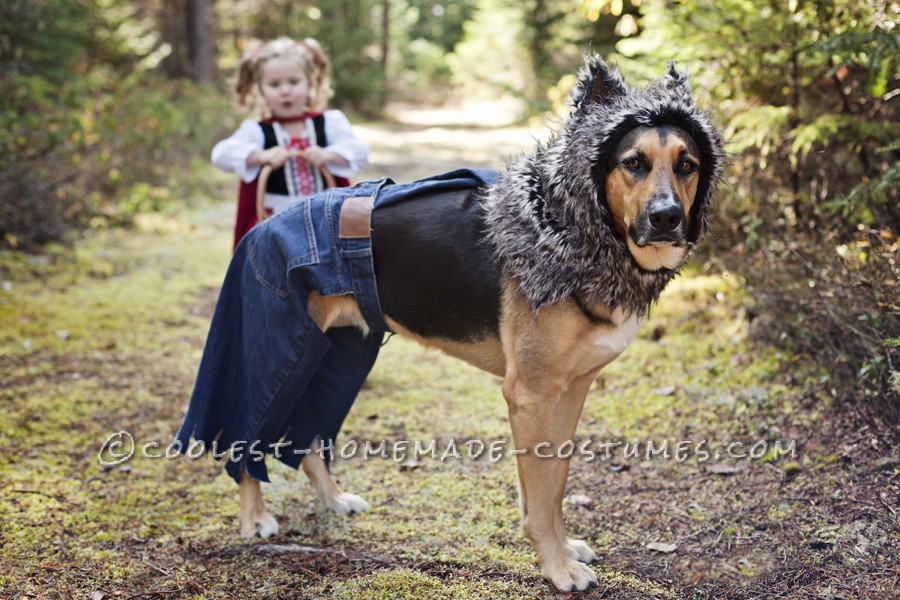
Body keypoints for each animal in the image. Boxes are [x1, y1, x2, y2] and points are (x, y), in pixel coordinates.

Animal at [183, 56, 724, 592]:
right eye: (633, 163)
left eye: (687, 165)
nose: (667, 218)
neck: (574, 237)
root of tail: (264, 225)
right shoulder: (530, 394)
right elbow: (541, 493)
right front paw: (556, 566)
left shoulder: (571, 390)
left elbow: (552, 486)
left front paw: (563, 549)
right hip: (279, 354)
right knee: (248, 432)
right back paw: (254, 518)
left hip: (335, 356)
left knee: (309, 435)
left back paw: (333, 500)